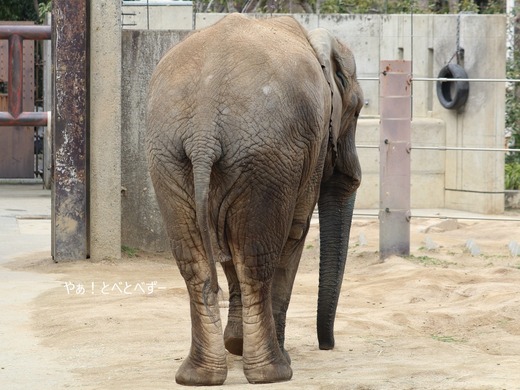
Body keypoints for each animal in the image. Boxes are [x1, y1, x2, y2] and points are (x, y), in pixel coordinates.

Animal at [147, 13, 362, 386]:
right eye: (359, 112)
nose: (328, 345)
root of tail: (204, 125)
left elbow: (225, 245)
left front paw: (235, 344)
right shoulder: (314, 142)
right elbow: (295, 230)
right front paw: (253, 349)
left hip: (171, 154)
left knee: (197, 260)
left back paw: (198, 376)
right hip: (267, 154)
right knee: (257, 256)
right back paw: (273, 372)